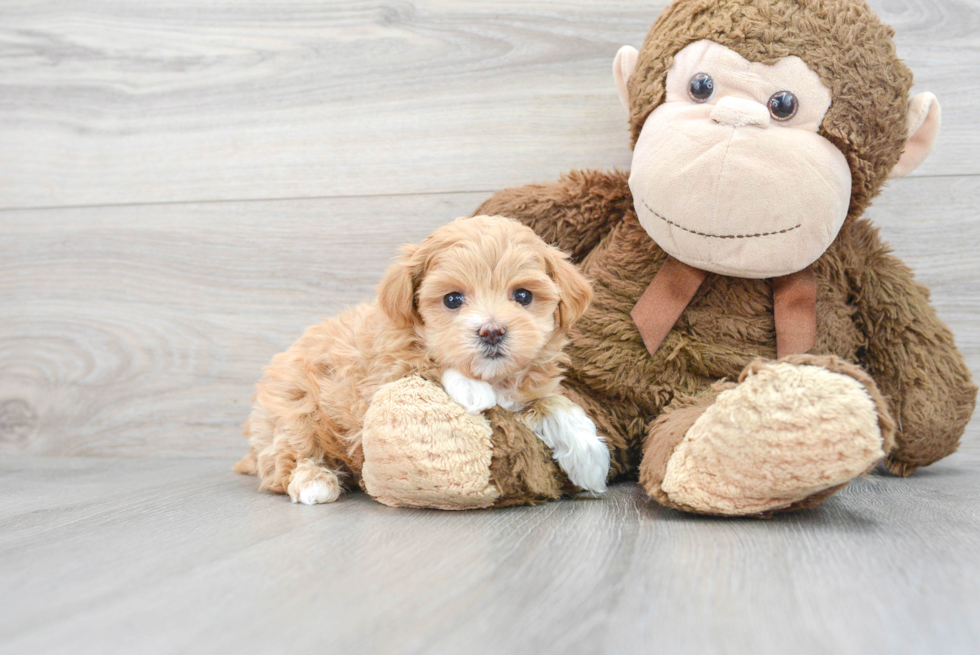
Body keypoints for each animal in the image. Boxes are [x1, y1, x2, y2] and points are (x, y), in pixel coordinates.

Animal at [234, 215, 608, 508]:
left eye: (523, 296)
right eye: (452, 299)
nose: (491, 331)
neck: (494, 377)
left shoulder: (528, 390)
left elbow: (553, 403)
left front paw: (589, 459)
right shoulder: (381, 371)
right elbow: (428, 363)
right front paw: (473, 391)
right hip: (296, 411)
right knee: (283, 458)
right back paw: (314, 480)